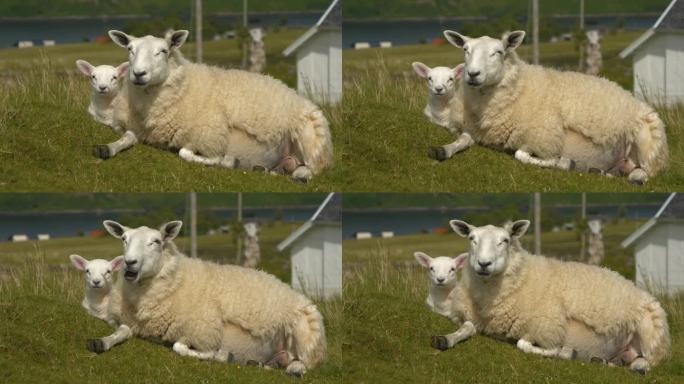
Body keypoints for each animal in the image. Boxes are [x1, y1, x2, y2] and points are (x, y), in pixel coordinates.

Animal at [93, 219, 326, 376]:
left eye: (157, 241)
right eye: (124, 239)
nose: (129, 263)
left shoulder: (203, 332)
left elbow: (181, 348)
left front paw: (222, 356)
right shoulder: (128, 321)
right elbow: (121, 331)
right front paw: (101, 343)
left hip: (306, 333)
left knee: (307, 362)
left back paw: (294, 368)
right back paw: (265, 364)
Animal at [97, 29, 332, 182]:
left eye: (163, 51)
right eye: (129, 48)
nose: (138, 74)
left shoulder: (208, 137)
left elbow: (186, 153)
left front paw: (228, 161)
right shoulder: (135, 128)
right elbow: (125, 137)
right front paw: (107, 149)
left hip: (309, 137)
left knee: (313, 168)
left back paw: (300, 175)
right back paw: (267, 169)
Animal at [438, 30, 668, 183]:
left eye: (499, 52)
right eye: (465, 50)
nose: (473, 74)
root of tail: (632, 97)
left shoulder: (543, 138)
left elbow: (522, 155)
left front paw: (564, 163)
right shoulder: (475, 131)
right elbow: (462, 140)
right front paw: (443, 150)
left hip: (648, 141)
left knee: (648, 170)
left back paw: (636, 177)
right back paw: (600, 172)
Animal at [446, 220, 672, 374]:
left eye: (505, 240)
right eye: (472, 239)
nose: (484, 264)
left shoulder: (547, 328)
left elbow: (525, 345)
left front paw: (563, 353)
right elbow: (466, 325)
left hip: (651, 331)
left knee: (650, 360)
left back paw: (638, 366)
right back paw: (603, 361)